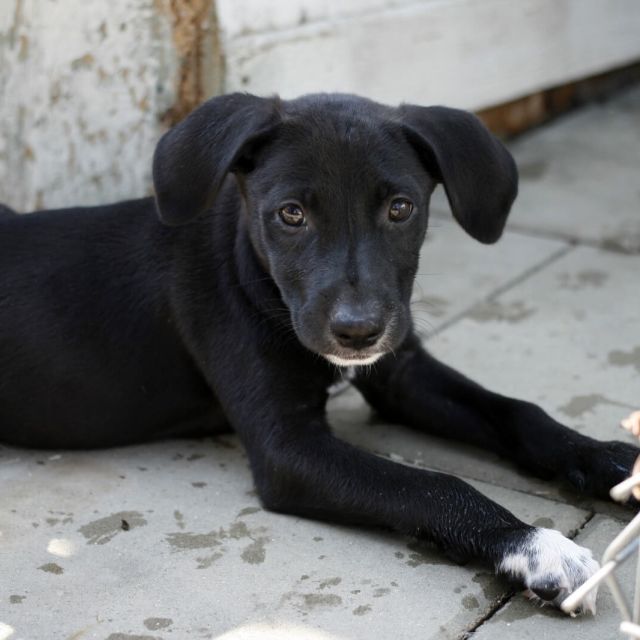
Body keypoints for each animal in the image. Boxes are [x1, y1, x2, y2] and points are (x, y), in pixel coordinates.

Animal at [0, 92, 636, 612]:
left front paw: (612, 459)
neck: (253, 274)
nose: (358, 332)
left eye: (400, 208)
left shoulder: (401, 373)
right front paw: (536, 546)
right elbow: (433, 485)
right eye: (291, 214)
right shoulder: (289, 448)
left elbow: (517, 412)